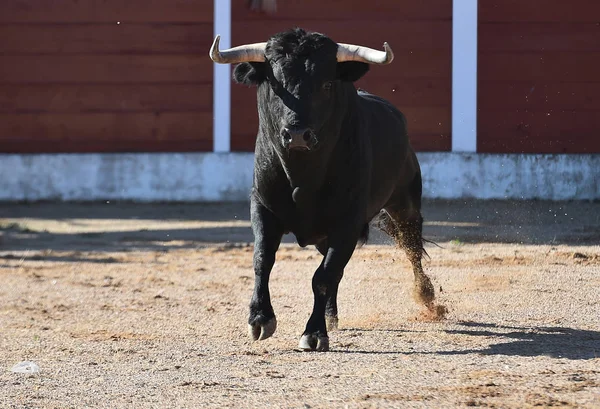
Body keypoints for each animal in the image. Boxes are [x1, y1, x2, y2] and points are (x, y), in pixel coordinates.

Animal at [212, 27, 440, 350]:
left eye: (327, 83)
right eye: (274, 83)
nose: (297, 134)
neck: (303, 177)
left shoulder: (348, 220)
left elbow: (323, 276)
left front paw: (314, 333)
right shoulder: (263, 207)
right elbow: (262, 260)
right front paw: (259, 319)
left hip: (404, 202)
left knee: (410, 245)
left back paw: (427, 297)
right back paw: (331, 315)